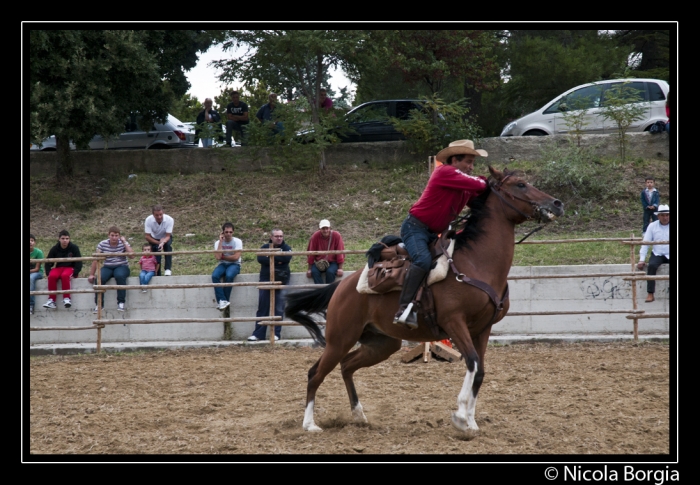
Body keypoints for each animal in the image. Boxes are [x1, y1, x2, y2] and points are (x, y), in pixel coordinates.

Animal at [284, 166, 564, 434]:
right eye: (520, 184)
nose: (557, 203)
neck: (477, 262)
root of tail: (342, 285)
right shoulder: (454, 322)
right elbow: (472, 363)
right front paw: (460, 418)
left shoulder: (483, 328)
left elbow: (480, 371)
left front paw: (471, 423)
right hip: (340, 338)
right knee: (315, 373)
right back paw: (310, 425)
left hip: (382, 343)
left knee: (347, 366)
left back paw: (359, 416)